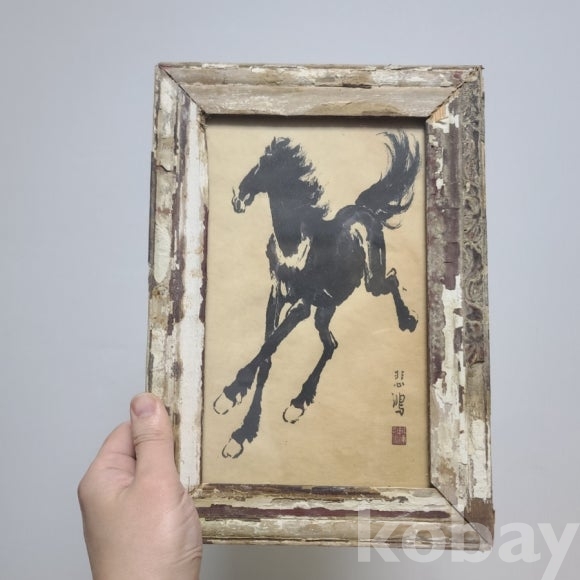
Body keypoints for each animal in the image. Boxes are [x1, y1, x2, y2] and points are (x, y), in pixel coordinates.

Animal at [213, 131, 421, 458]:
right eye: (260, 161)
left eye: (269, 167)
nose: (239, 198)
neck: (296, 246)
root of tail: (364, 210)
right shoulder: (277, 294)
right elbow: (267, 356)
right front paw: (242, 429)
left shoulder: (301, 305)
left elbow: (269, 346)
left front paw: (231, 398)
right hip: (325, 309)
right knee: (331, 344)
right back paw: (299, 402)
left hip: (368, 285)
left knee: (392, 278)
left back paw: (407, 321)